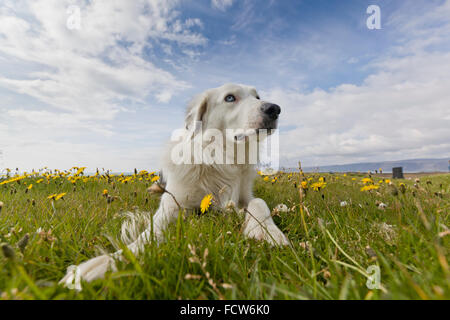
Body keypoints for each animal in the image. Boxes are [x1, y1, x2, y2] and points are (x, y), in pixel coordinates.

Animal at [59, 84, 288, 286]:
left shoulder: (244, 196)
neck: (220, 157)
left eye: (257, 96)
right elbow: (148, 235)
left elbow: (259, 202)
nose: (274, 109)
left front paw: (268, 232)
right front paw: (105, 263)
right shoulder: (171, 206)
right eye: (230, 97)